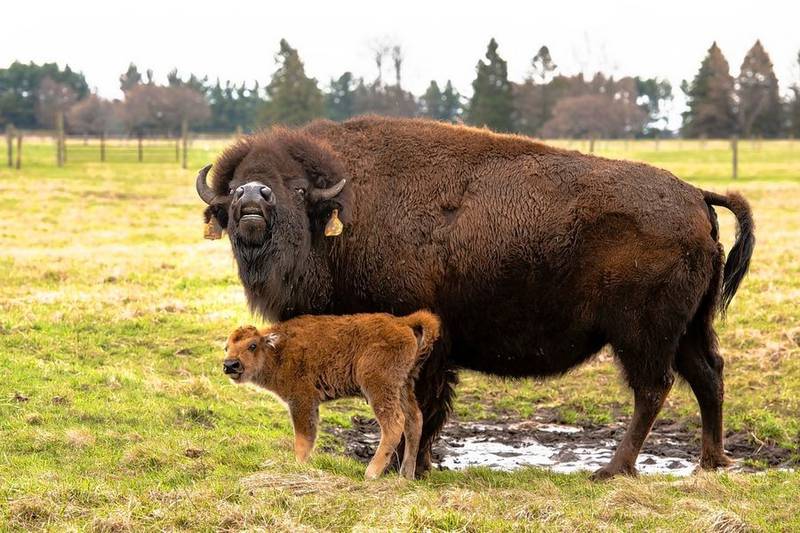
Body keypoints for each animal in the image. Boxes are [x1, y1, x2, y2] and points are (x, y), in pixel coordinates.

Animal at [222, 310, 440, 480]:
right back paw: (406, 474)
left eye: (252, 345)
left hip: (379, 387)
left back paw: (371, 473)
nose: (230, 365)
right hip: (403, 386)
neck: (277, 351)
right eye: (226, 347)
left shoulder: (302, 401)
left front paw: (297, 465)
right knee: (414, 420)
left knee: (394, 423)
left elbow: (303, 438)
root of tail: (402, 322)